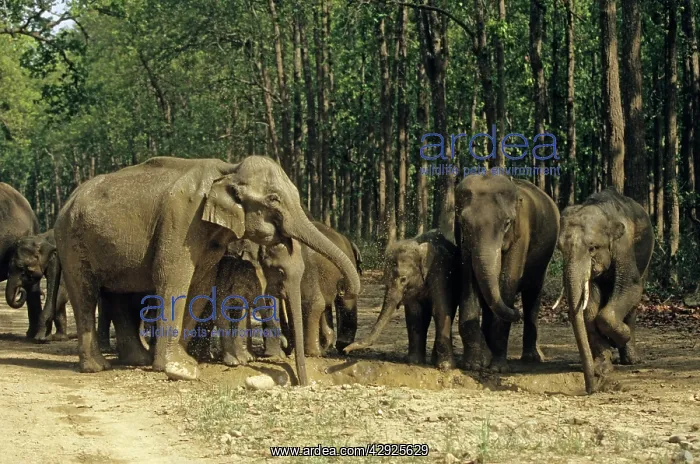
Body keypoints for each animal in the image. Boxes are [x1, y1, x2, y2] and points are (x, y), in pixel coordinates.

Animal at [52, 155, 360, 384]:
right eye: (274, 199)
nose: (302, 382)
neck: (228, 170)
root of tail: (68, 200)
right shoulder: (179, 219)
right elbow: (173, 277)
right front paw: (178, 368)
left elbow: (200, 282)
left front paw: (183, 361)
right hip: (71, 240)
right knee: (85, 294)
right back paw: (97, 367)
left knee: (118, 295)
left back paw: (137, 361)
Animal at [343, 230, 460, 370]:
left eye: (403, 279)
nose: (345, 351)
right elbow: (415, 313)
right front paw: (413, 361)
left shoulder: (440, 272)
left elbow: (440, 310)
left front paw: (446, 367)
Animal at [455, 173, 559, 372]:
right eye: (464, 223)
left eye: (507, 223)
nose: (516, 311)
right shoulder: (462, 241)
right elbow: (467, 279)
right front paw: (474, 364)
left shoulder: (522, 234)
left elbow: (508, 279)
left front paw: (497, 368)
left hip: (543, 260)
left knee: (532, 294)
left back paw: (531, 358)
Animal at [556, 187, 653, 394]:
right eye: (560, 248)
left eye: (592, 248)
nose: (591, 388)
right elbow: (590, 310)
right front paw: (602, 367)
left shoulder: (624, 245)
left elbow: (631, 286)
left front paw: (618, 339)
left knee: (634, 300)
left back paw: (630, 358)